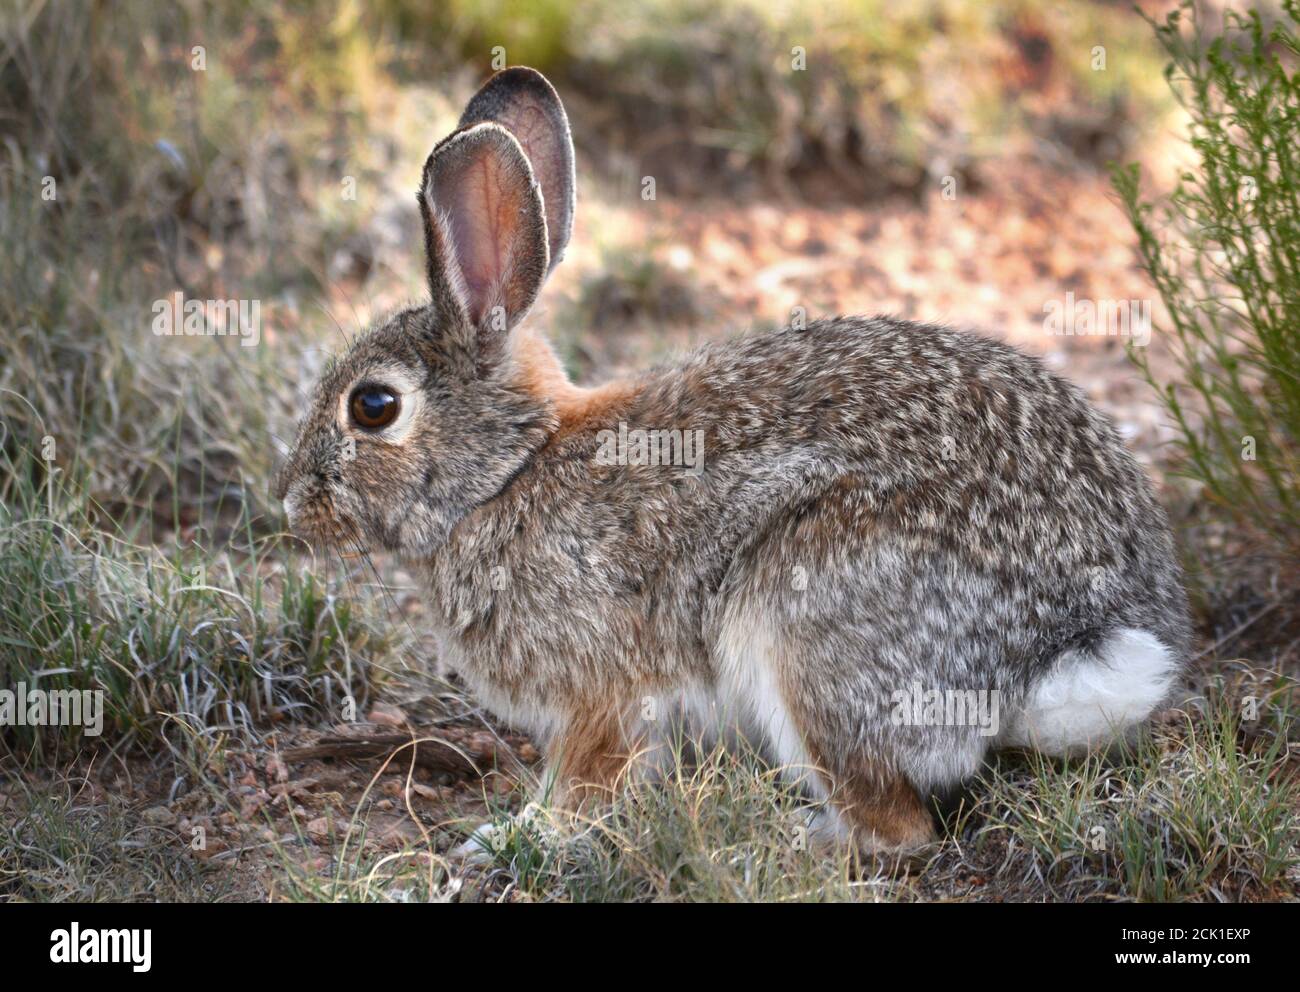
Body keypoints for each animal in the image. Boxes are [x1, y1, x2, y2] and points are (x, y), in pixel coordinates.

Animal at [274, 65, 1190, 852]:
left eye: (373, 407)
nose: (290, 501)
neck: (510, 470)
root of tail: (1064, 645)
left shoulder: (601, 693)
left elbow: (585, 782)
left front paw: (520, 836)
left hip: (801, 620)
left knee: (899, 829)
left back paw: (791, 835)